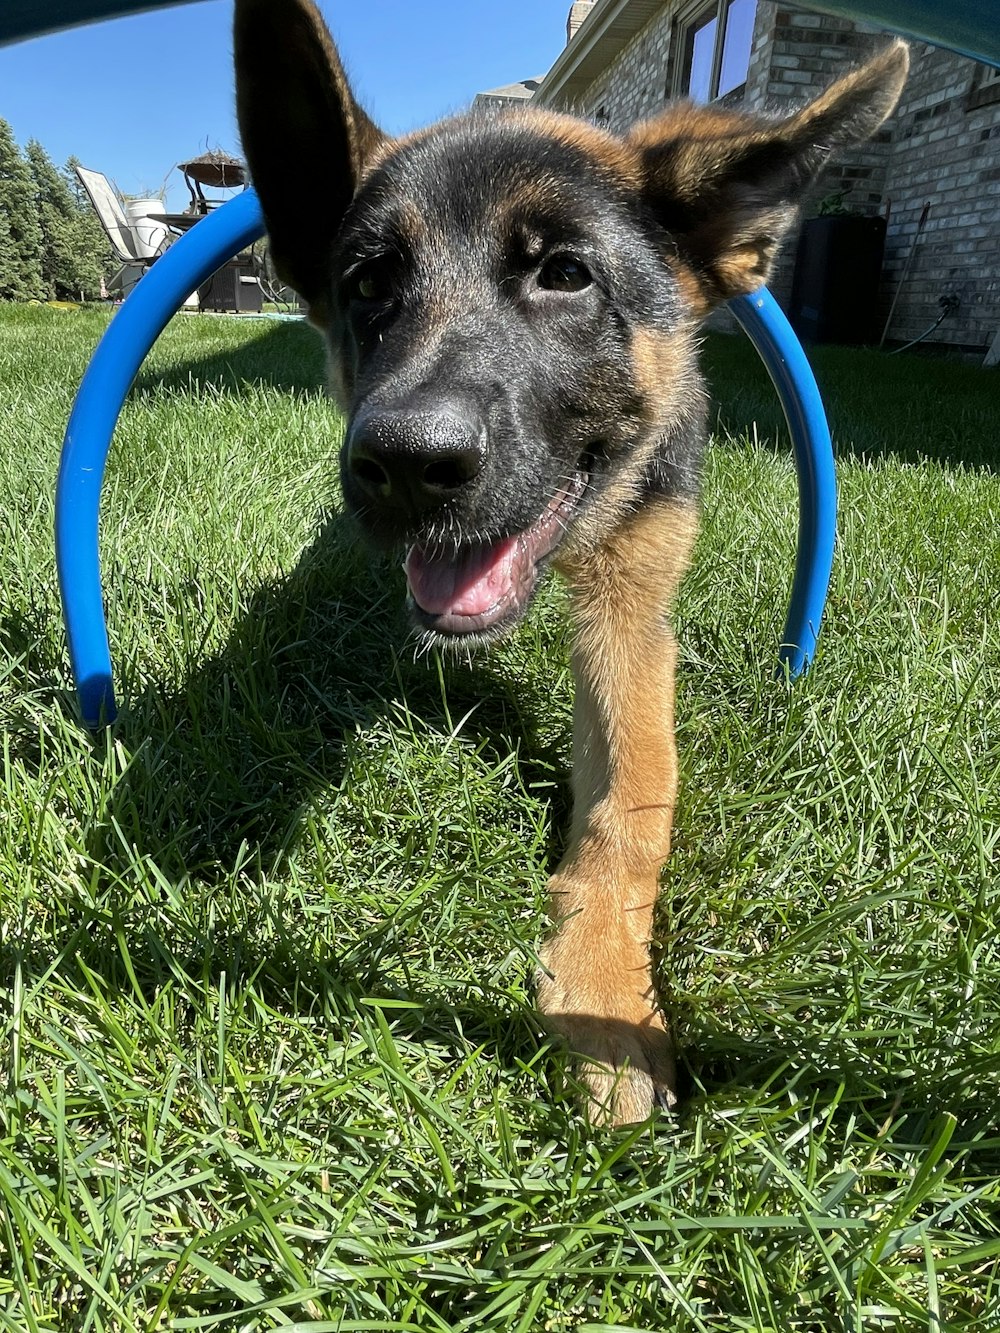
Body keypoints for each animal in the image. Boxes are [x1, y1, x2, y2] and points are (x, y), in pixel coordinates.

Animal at [233, 0, 906, 1125]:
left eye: (564, 273)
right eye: (368, 282)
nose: (404, 465)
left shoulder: (631, 609)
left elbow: (633, 804)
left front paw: (603, 987)